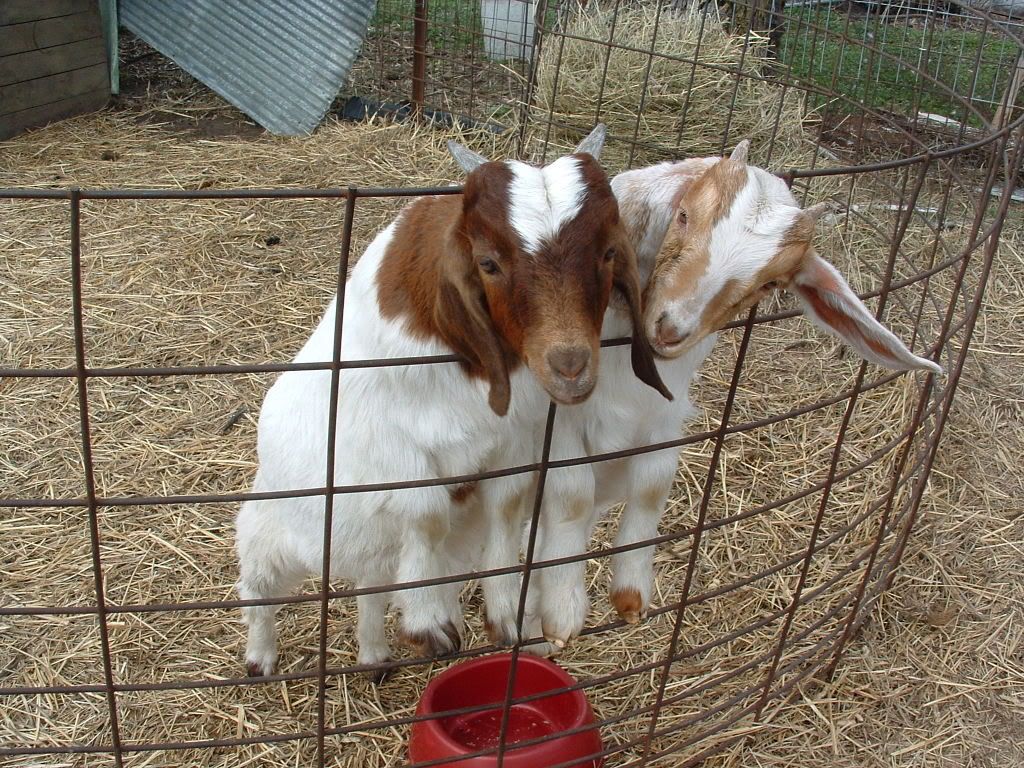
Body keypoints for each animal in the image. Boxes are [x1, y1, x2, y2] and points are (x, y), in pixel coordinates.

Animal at [234, 125, 668, 678]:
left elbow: (506, 508)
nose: (570, 366)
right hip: (272, 529)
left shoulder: (513, 440)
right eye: (488, 263)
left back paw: (374, 654)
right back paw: (260, 658)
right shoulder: (394, 448)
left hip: (370, 554)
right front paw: (430, 623)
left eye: (609, 253)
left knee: (370, 589)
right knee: (258, 586)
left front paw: (505, 615)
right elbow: (427, 514)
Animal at [484, 141, 942, 650]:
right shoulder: (558, 414)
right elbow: (572, 493)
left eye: (771, 282)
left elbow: (654, 483)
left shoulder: (666, 414)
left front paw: (630, 595)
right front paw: (562, 611)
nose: (670, 329)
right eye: (683, 215)